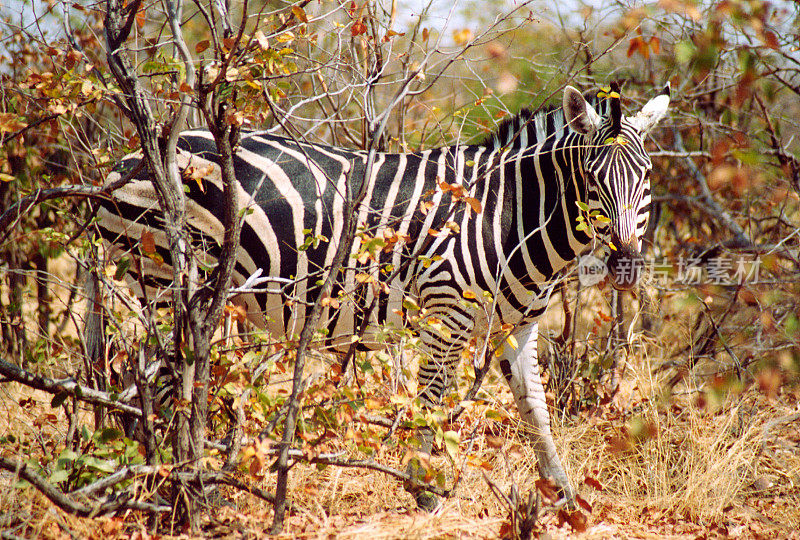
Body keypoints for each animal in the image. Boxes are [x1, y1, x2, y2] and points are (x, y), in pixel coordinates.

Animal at [92, 83, 668, 506]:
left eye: (647, 176)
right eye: (592, 181)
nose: (625, 265)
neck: (508, 214)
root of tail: (128, 160)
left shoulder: (516, 324)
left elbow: (536, 411)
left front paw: (565, 498)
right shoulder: (445, 313)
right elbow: (431, 406)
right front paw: (425, 494)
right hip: (167, 282)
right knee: (156, 383)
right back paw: (170, 486)